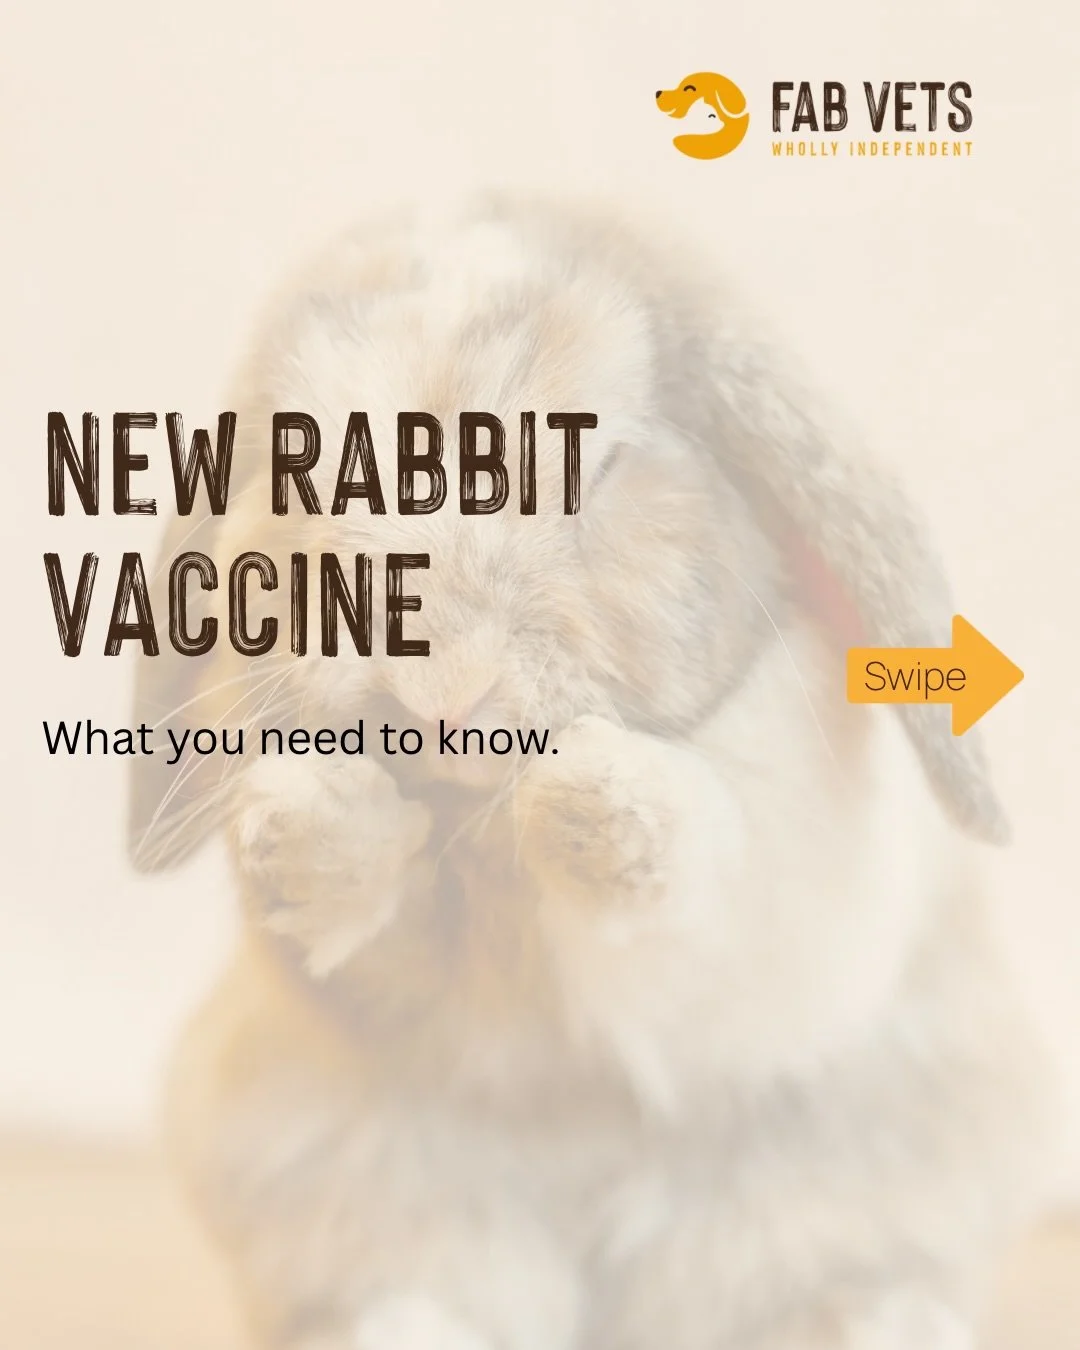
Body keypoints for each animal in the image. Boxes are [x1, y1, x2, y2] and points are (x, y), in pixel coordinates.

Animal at [130, 194, 1063, 1350]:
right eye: (304, 472)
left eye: (601, 466)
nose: (439, 695)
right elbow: (374, 927)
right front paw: (313, 822)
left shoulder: (782, 895)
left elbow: (690, 885)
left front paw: (597, 795)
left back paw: (884, 1322)